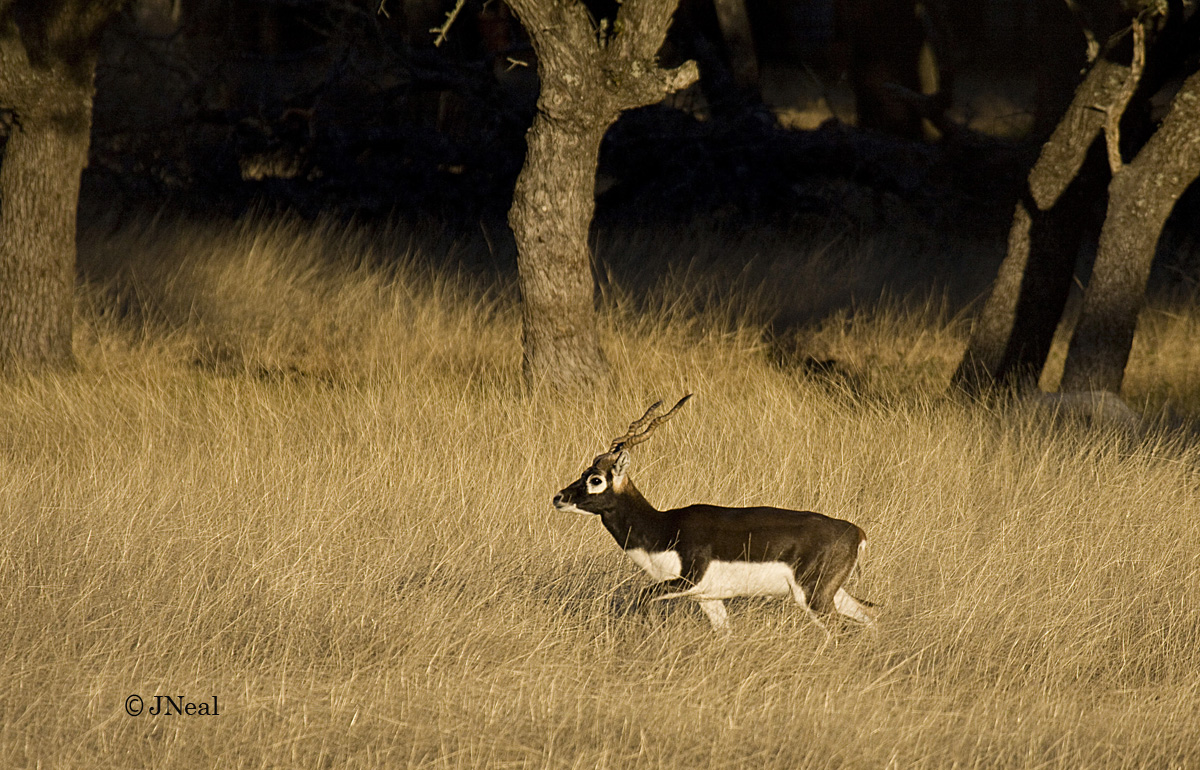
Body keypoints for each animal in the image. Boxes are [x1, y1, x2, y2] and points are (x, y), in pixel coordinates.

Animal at [553, 395, 875, 636]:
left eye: (596, 479)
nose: (559, 498)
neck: (663, 529)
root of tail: (856, 532)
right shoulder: (709, 599)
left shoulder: (686, 581)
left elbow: (642, 597)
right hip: (833, 593)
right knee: (870, 614)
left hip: (813, 596)